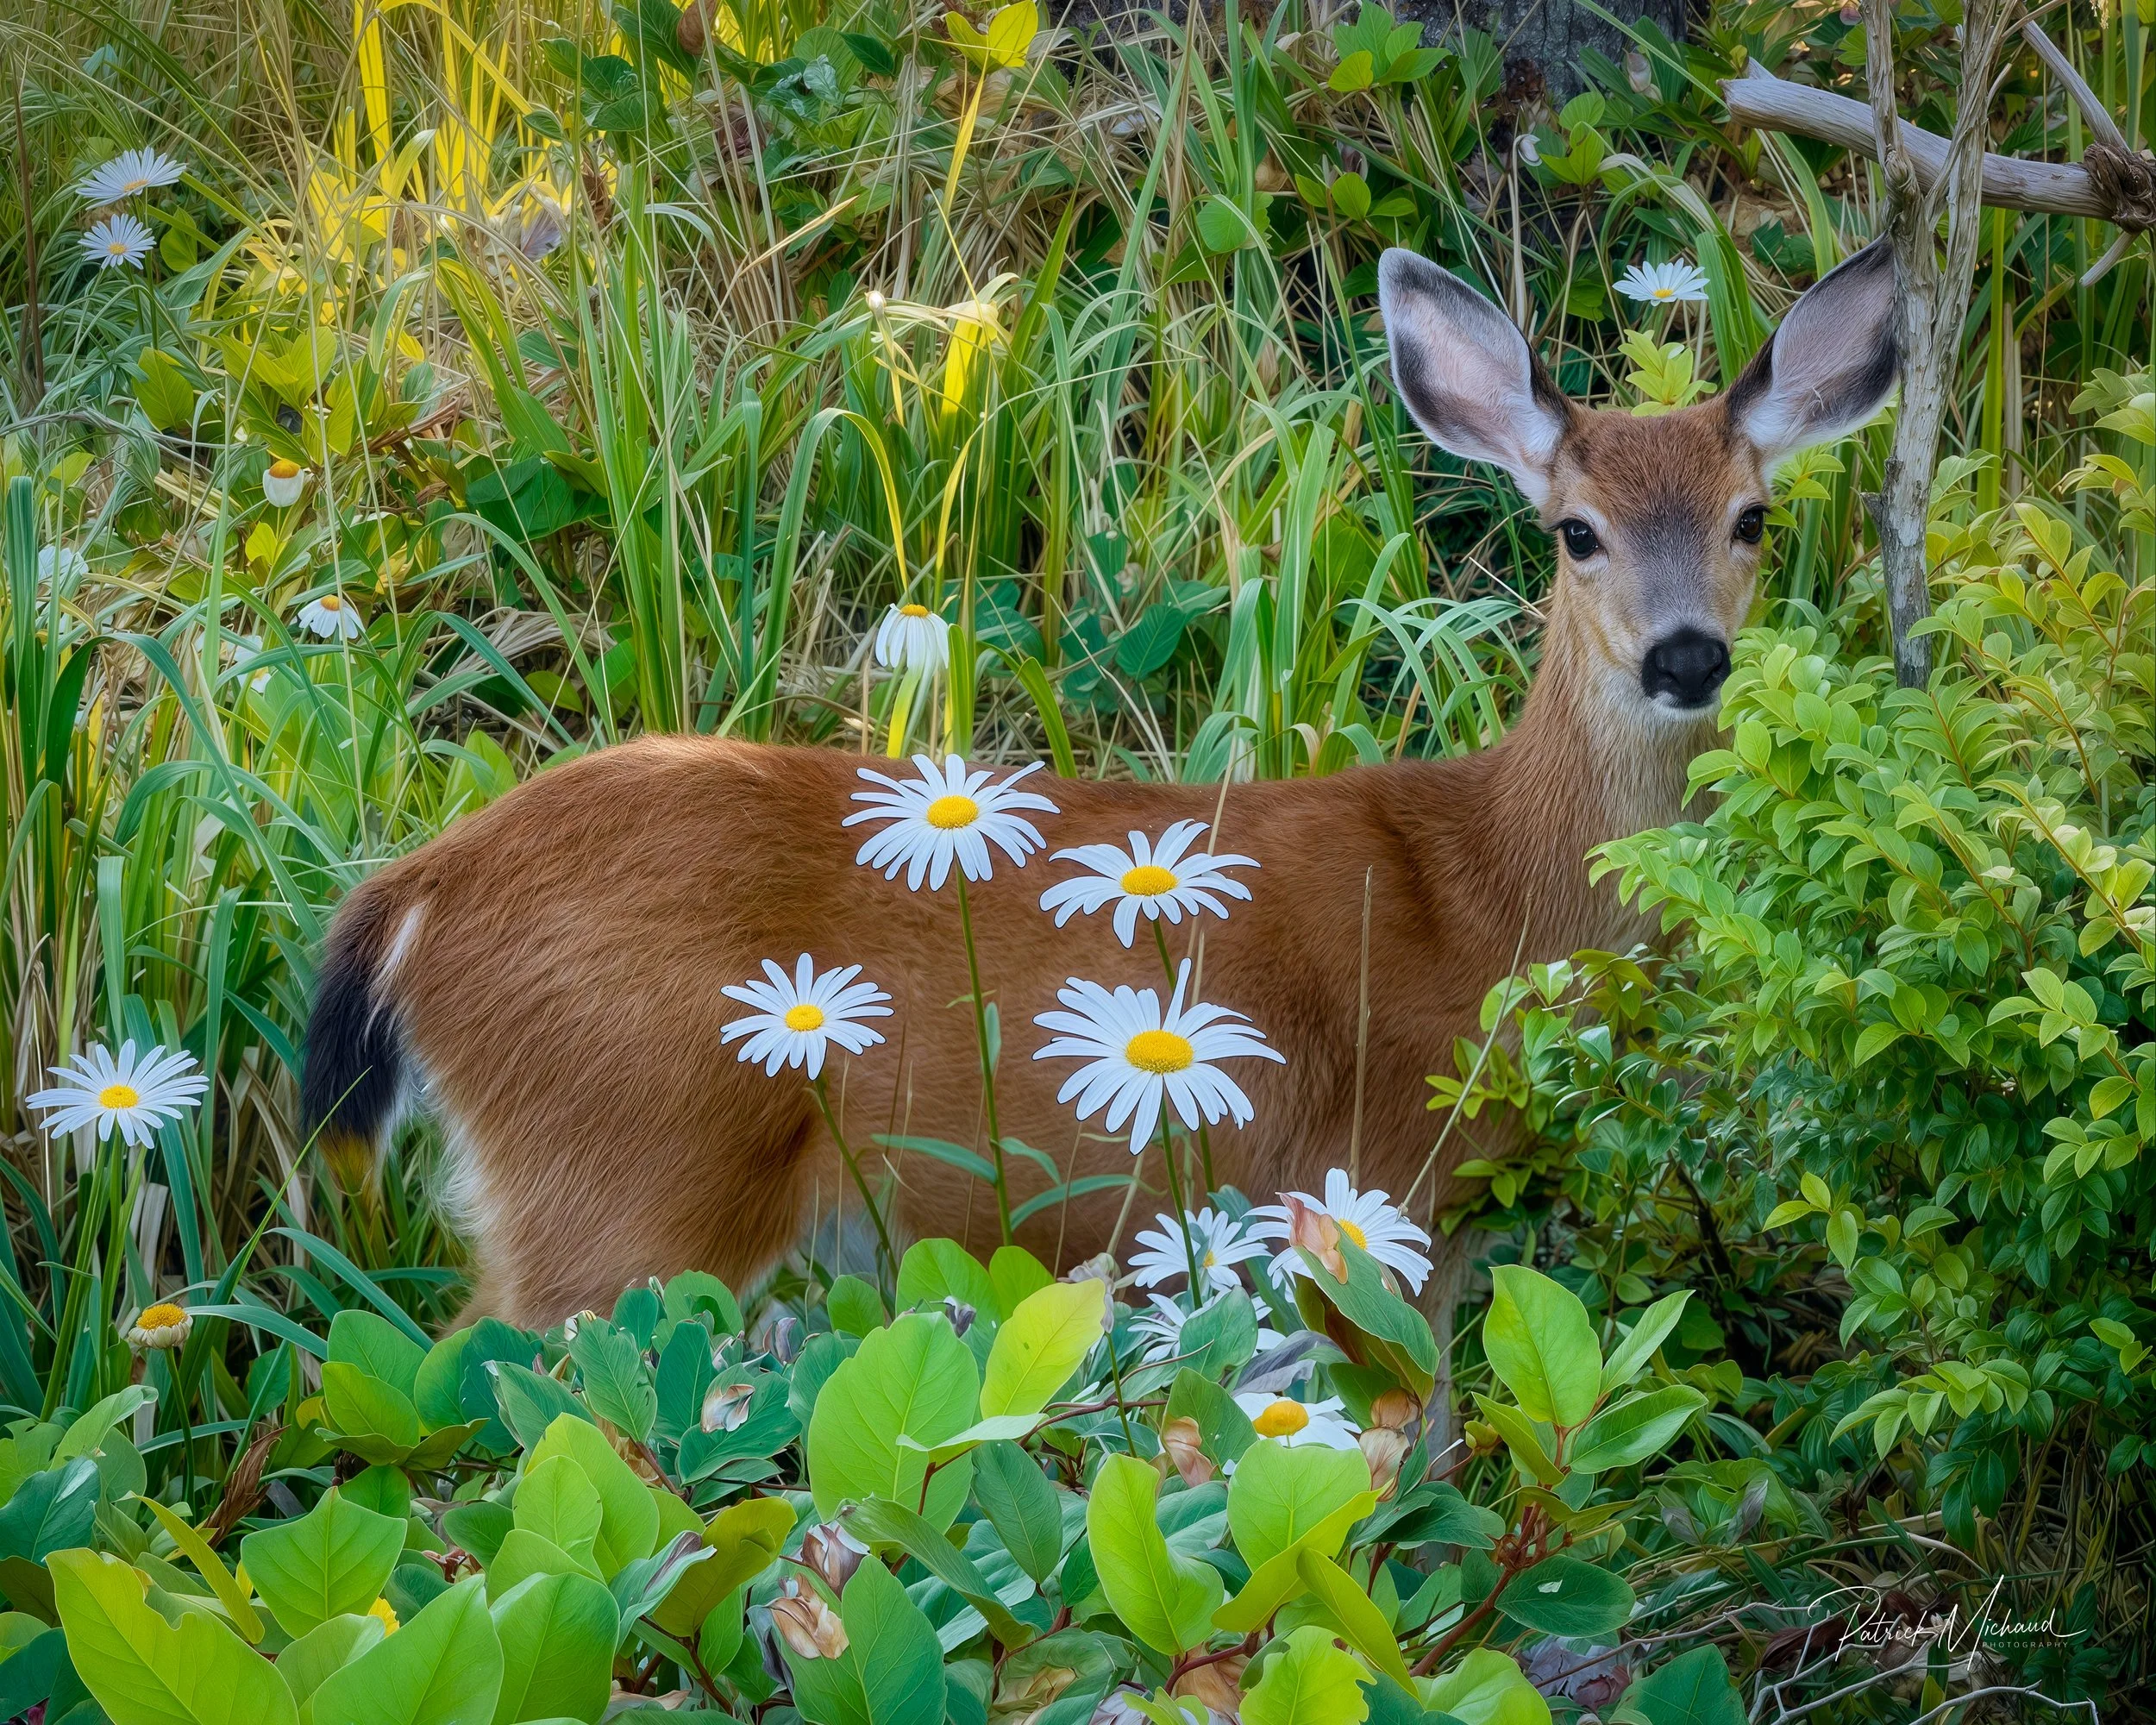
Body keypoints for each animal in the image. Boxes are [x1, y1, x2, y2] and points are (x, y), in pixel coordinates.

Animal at [301, 240, 1898, 1339]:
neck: (1499, 895)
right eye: (1575, 532)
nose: (1688, 655)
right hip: (626, 1170)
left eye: (1754, 518)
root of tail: (417, 893)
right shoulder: (1372, 1181)